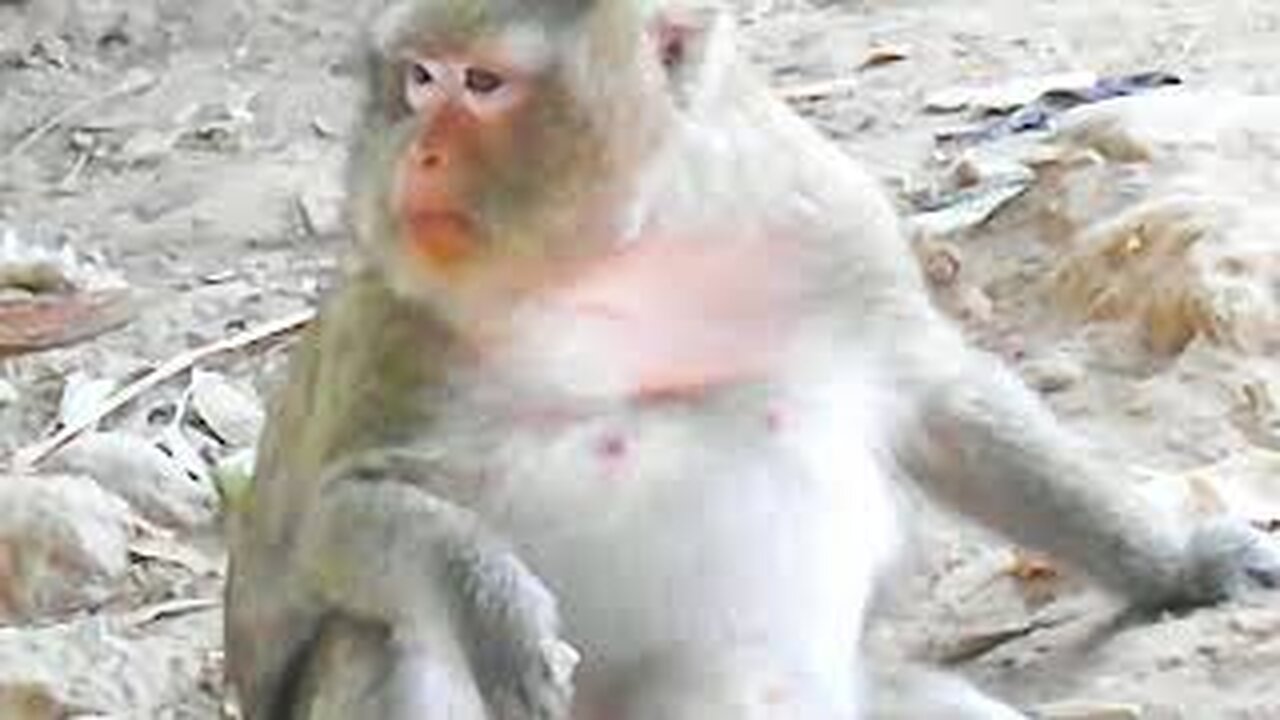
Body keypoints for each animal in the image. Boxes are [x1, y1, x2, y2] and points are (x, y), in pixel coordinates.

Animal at [224, 0, 1280, 717]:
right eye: (418, 78)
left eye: (480, 86)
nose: (419, 157)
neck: (622, 254)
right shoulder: (397, 327)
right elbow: (336, 518)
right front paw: (496, 609)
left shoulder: (826, 225)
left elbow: (945, 404)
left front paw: (1176, 565)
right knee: (376, 642)